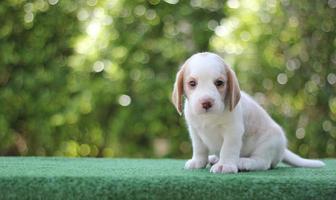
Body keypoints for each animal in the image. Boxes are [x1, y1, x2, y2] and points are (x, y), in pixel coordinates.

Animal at [172, 52, 324, 173]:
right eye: (192, 83)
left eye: (219, 83)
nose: (206, 102)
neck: (209, 119)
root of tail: (283, 149)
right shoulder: (195, 131)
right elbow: (199, 149)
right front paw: (198, 162)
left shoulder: (233, 131)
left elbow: (228, 148)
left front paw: (225, 165)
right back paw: (215, 158)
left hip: (268, 143)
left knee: (263, 163)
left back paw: (243, 162)